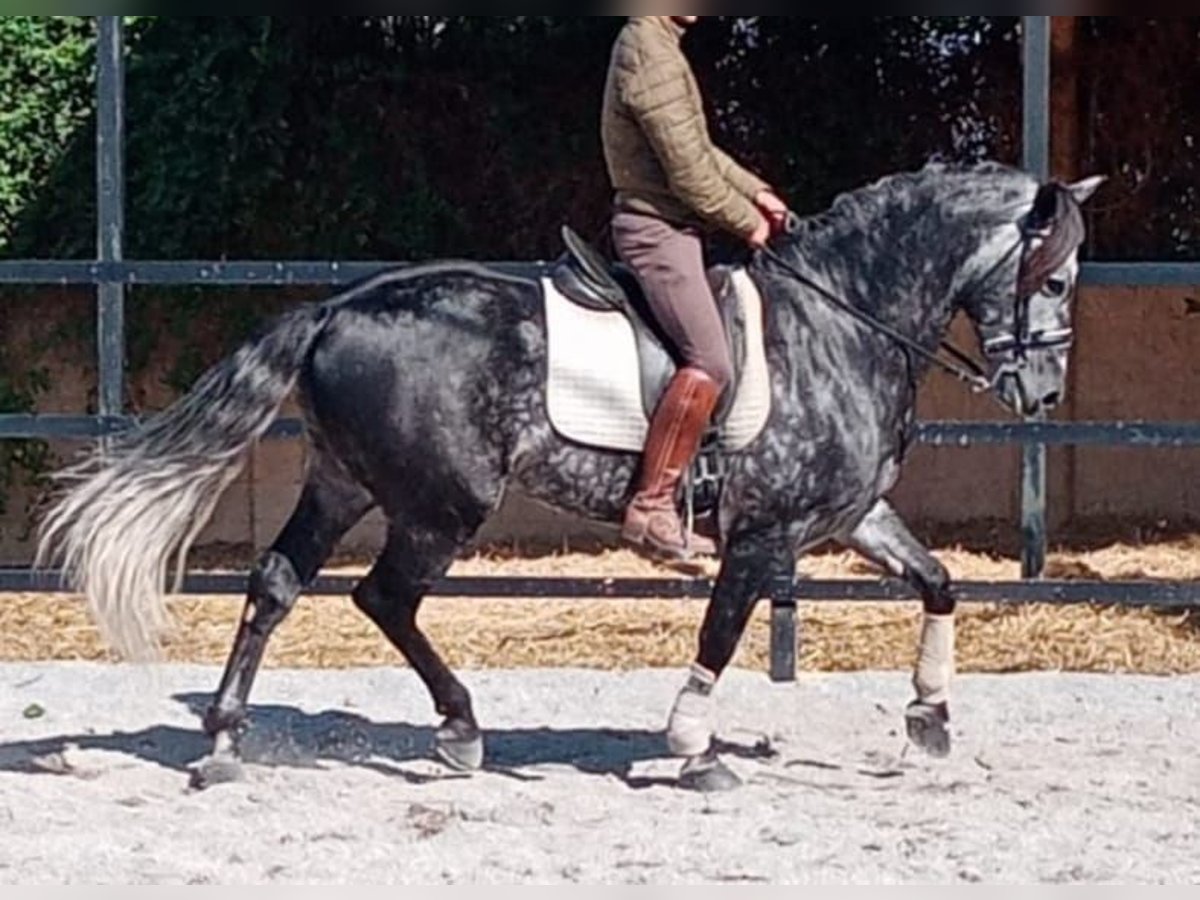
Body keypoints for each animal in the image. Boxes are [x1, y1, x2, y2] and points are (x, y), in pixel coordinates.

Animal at [35, 160, 1103, 792]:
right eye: (1052, 278)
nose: (1044, 392)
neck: (842, 320)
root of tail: (339, 308)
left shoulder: (848, 515)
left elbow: (940, 581)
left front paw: (928, 721)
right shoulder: (764, 533)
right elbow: (722, 631)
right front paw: (693, 749)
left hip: (344, 482)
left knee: (276, 585)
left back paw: (224, 743)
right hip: (441, 502)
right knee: (385, 598)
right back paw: (460, 730)